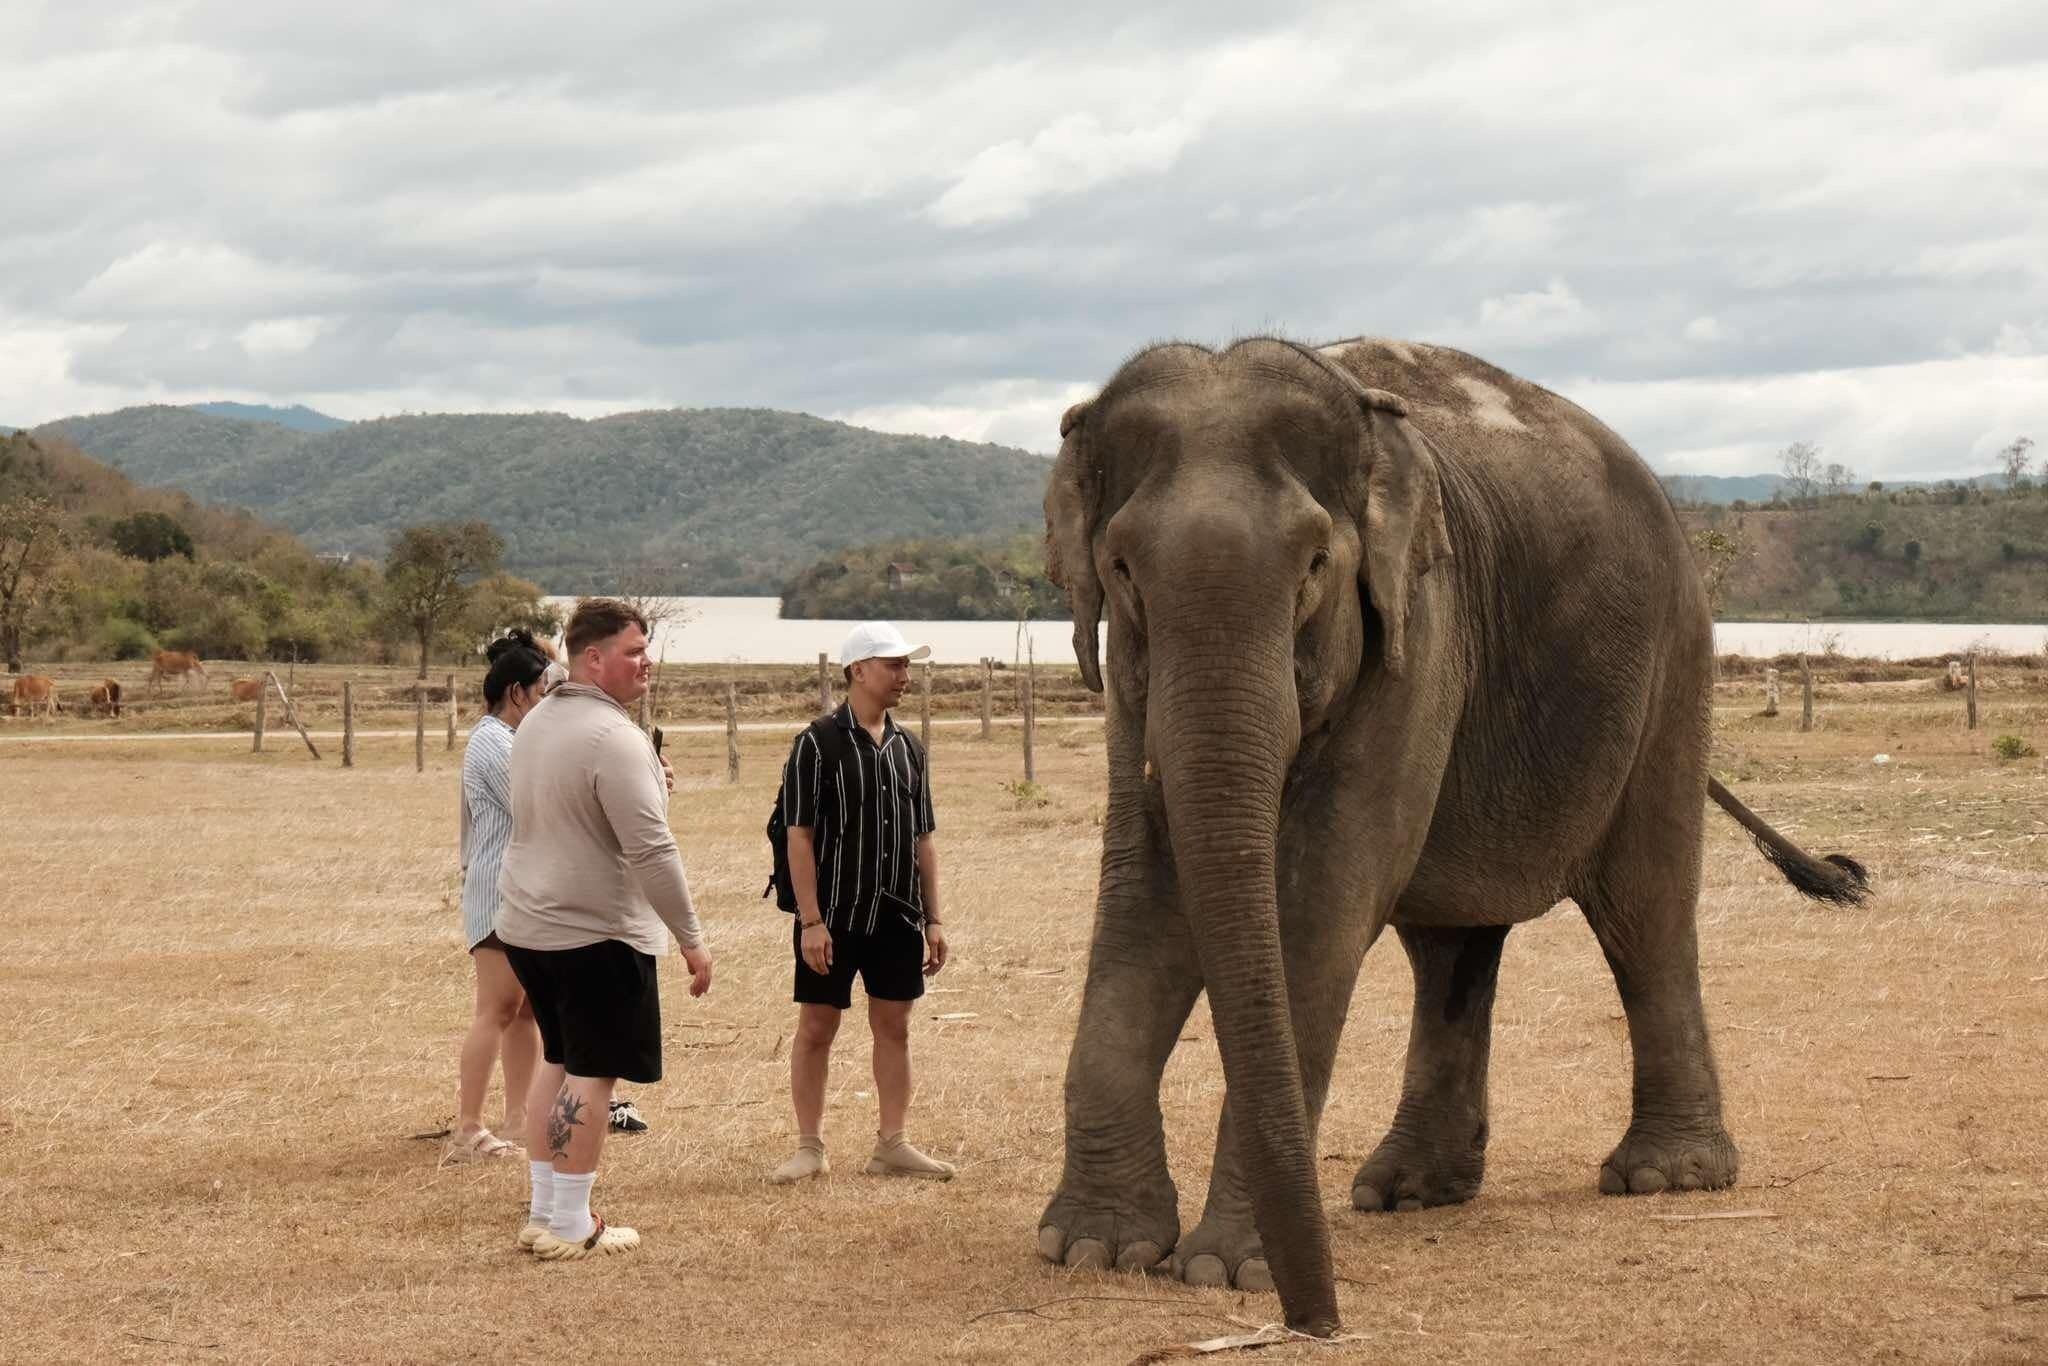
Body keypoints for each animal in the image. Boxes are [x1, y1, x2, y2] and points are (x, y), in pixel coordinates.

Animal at [1034, 336, 1869, 1336]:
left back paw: (1667, 1177)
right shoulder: (1128, 676)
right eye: (1121, 569)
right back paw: (1408, 1192)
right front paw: (1097, 1250)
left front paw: (1223, 1269)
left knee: (1645, 914)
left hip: (1676, 662)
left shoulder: (1419, 633)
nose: (1319, 1320)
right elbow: (1142, 892)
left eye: (1315, 564)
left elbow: (1322, 904)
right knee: (1450, 950)